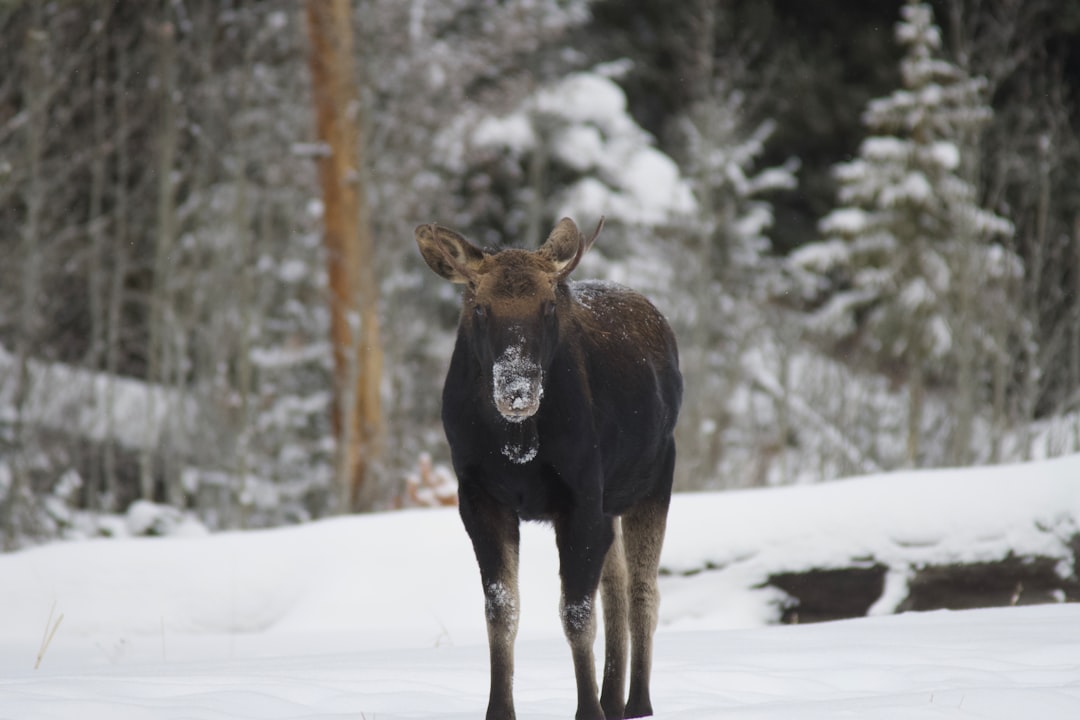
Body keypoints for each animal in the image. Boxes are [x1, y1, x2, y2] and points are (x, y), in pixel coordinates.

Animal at [414, 216, 682, 716]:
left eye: (548, 305)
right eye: (480, 307)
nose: (517, 390)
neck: (517, 447)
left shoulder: (580, 499)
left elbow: (575, 613)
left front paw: (588, 711)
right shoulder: (479, 499)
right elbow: (501, 609)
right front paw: (499, 710)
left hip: (654, 480)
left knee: (642, 591)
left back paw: (637, 703)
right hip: (611, 505)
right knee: (616, 587)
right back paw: (613, 699)